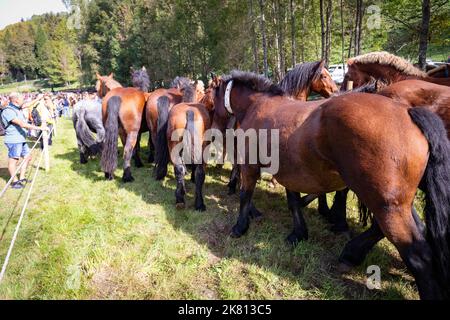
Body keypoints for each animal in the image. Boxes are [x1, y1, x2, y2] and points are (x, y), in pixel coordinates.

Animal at [154, 82, 212, 210]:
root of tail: (189, 112)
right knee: (200, 172)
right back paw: (199, 203)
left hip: (174, 148)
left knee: (179, 169)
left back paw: (180, 199)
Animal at [209, 70, 450, 300]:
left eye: (211, 93)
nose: (214, 127)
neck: (259, 105)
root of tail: (407, 112)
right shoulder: (289, 171)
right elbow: (293, 201)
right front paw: (298, 233)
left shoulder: (250, 166)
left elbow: (245, 195)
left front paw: (240, 227)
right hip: (397, 203)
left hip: (387, 206)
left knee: (417, 255)